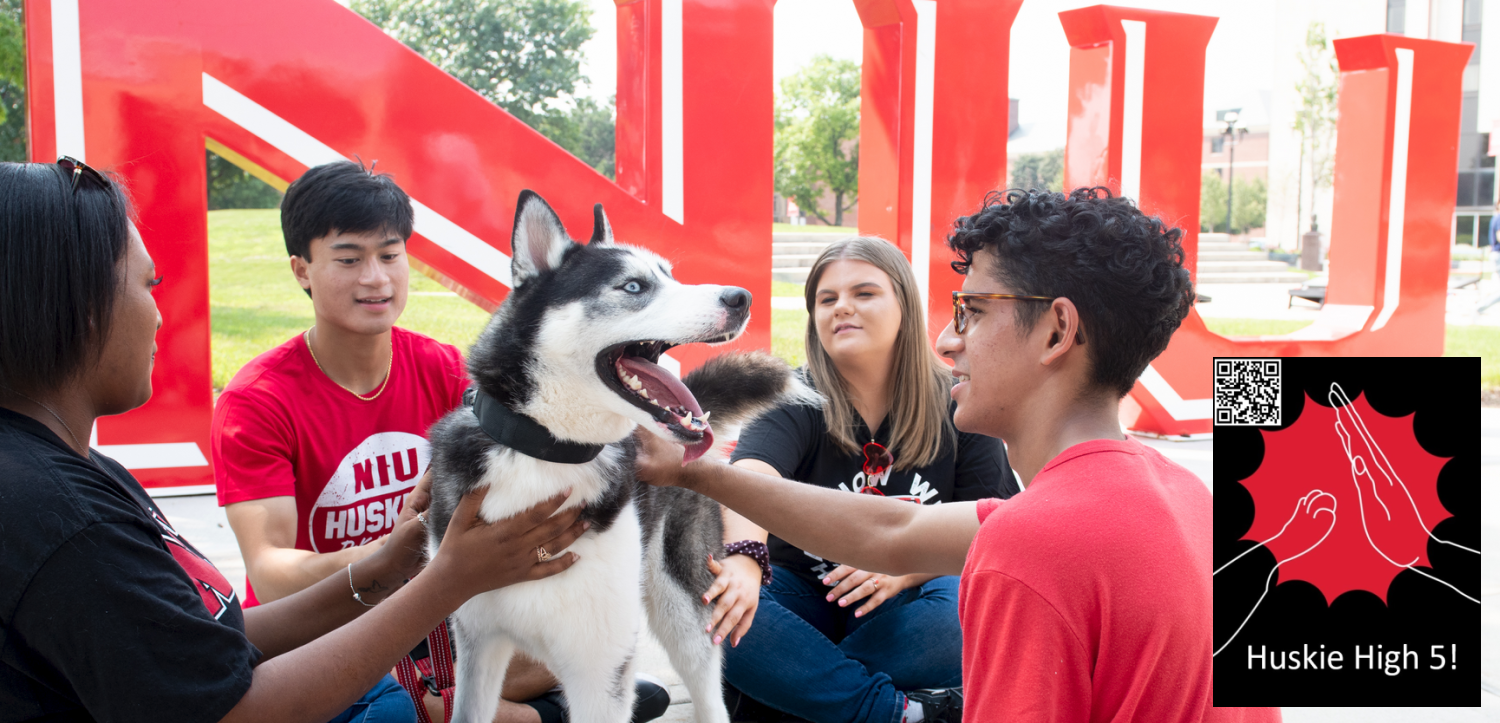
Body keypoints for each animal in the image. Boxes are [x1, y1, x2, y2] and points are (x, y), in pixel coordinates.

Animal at [426, 190, 810, 723]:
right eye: (633, 286)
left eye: (670, 275)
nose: (742, 298)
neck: (546, 454)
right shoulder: (476, 645)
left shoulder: (598, 668)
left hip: (682, 612)